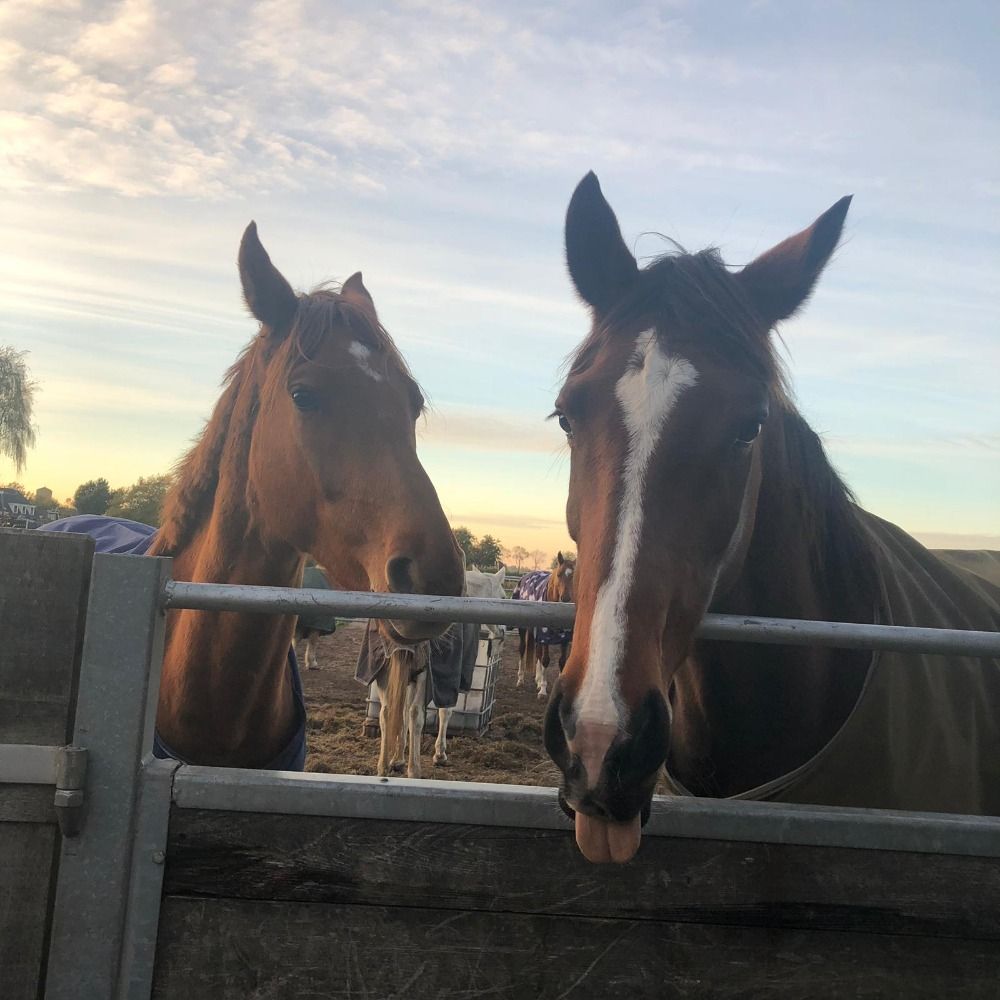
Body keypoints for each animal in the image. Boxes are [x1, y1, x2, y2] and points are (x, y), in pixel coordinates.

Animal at [512, 554, 576, 699]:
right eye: (559, 574)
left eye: (574, 576)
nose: (565, 598)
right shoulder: (545, 635)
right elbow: (546, 660)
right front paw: (542, 690)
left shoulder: (564, 639)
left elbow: (562, 661)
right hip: (523, 629)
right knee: (522, 649)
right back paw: (520, 680)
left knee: (538, 653)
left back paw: (537, 679)